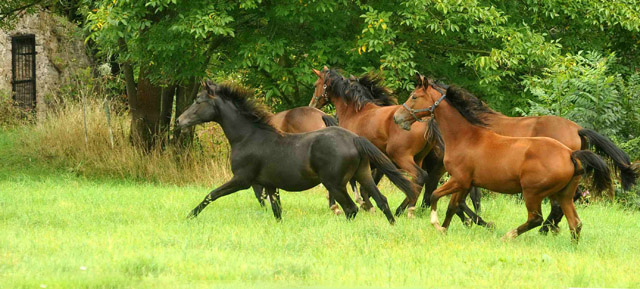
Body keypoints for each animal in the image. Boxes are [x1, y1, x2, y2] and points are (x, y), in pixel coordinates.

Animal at [178, 80, 416, 223]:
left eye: (198, 101)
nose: (179, 120)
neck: (248, 137)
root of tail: (354, 138)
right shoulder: (269, 185)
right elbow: (277, 211)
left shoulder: (242, 179)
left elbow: (211, 194)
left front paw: (189, 216)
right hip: (363, 174)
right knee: (381, 200)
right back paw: (392, 225)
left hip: (335, 184)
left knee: (351, 209)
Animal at [396, 76, 636, 232]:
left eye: (414, 96)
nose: (398, 117)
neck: (466, 134)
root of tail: (576, 131)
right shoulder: (464, 178)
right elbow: (457, 203)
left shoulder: (456, 176)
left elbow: (444, 198)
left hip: (536, 190)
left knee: (550, 209)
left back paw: (542, 229)